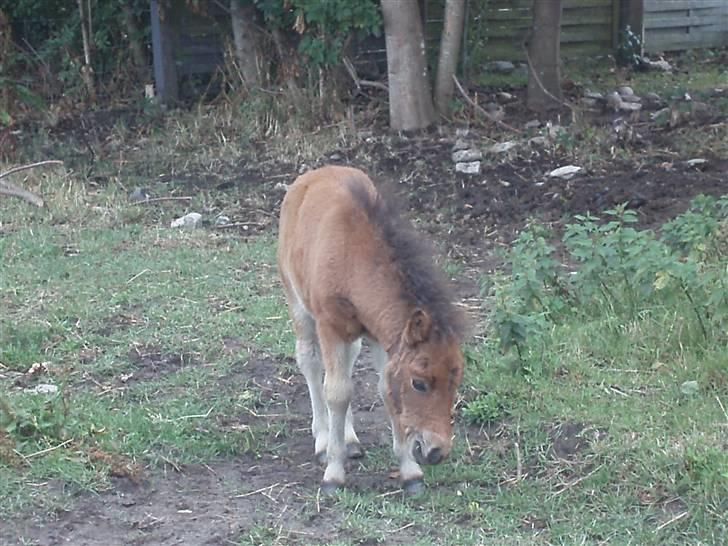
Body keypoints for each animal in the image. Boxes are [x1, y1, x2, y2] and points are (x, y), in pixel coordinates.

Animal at [276, 164, 470, 490]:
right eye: (419, 383)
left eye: (456, 380)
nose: (437, 451)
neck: (353, 258)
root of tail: (310, 176)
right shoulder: (330, 326)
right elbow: (337, 391)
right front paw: (333, 473)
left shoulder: (381, 335)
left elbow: (383, 389)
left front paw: (410, 471)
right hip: (298, 303)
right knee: (311, 362)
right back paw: (323, 440)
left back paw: (350, 440)